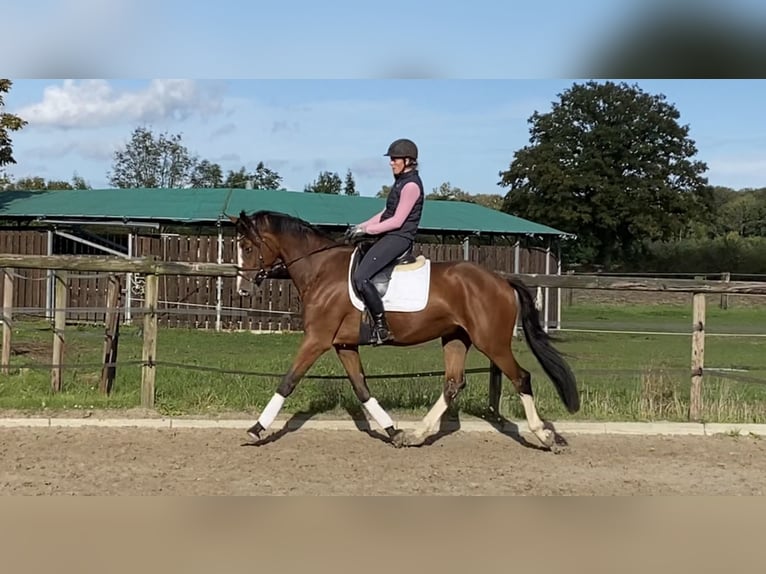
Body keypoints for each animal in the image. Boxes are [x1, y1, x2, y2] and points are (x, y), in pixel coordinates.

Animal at [231, 212, 580, 450]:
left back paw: (545, 436)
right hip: (456, 337)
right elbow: (362, 388)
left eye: (246, 246)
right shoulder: (343, 345)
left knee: (521, 377)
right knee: (453, 384)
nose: (243, 289)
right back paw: (417, 434)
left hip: (491, 342)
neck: (321, 271)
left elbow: (288, 380)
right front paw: (393, 431)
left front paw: (256, 429)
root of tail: (501, 279)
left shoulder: (317, 339)